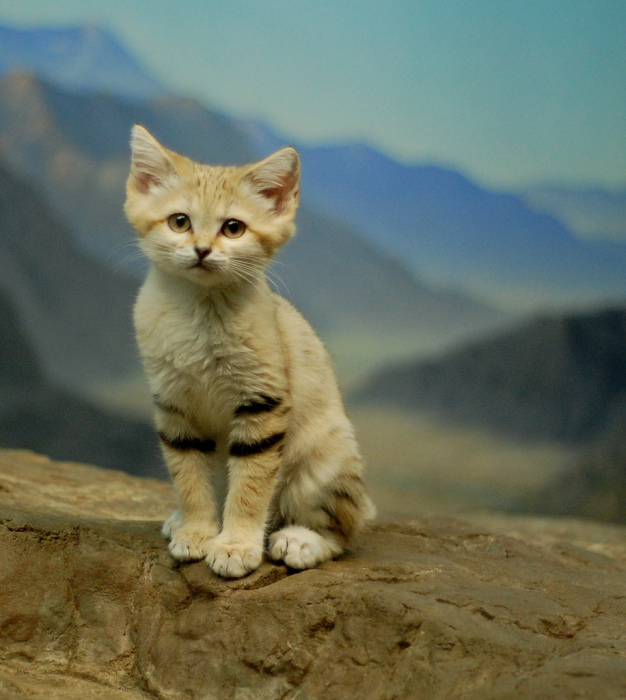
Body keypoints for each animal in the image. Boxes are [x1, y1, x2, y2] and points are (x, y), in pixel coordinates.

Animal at [124, 127, 372, 580]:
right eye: (180, 222)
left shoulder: (262, 405)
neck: (201, 313)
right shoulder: (174, 407)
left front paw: (236, 545)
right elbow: (189, 478)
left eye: (233, 228)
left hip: (322, 464)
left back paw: (300, 541)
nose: (202, 249)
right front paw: (198, 530)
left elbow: (250, 488)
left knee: (345, 530)